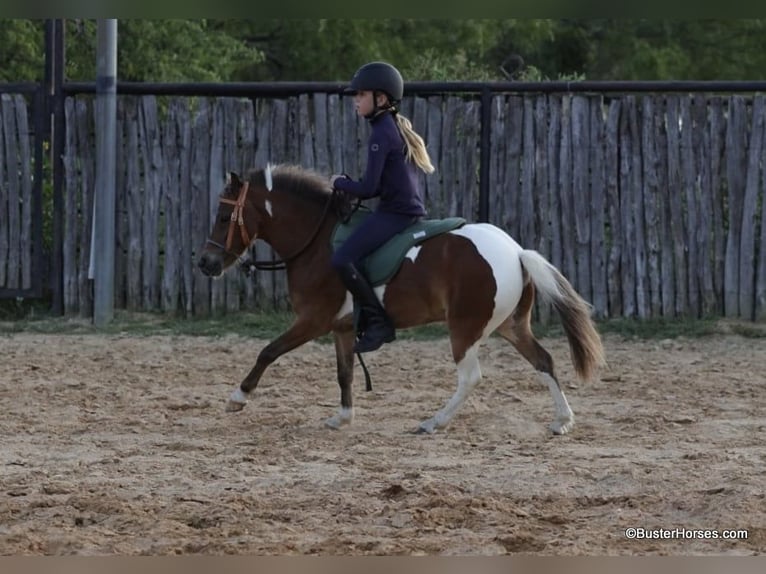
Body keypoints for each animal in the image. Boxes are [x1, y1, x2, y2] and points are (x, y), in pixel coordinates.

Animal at [198, 164, 608, 434]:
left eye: (223, 217)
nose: (205, 263)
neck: (315, 241)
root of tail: (517, 251)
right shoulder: (341, 328)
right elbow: (345, 372)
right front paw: (342, 417)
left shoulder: (312, 320)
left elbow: (268, 351)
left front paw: (238, 397)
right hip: (510, 325)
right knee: (543, 360)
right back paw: (562, 420)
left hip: (465, 328)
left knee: (471, 377)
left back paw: (433, 422)